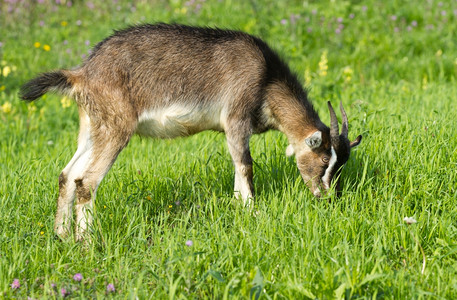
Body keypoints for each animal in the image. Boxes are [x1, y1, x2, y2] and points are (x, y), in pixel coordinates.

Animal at [19, 23, 360, 240]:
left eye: (341, 164)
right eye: (323, 161)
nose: (328, 197)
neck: (267, 79)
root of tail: (82, 73)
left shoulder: (231, 129)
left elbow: (237, 167)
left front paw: (239, 208)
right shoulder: (236, 116)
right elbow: (246, 166)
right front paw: (253, 214)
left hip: (92, 125)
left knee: (67, 175)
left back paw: (61, 235)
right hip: (116, 127)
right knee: (86, 180)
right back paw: (86, 243)